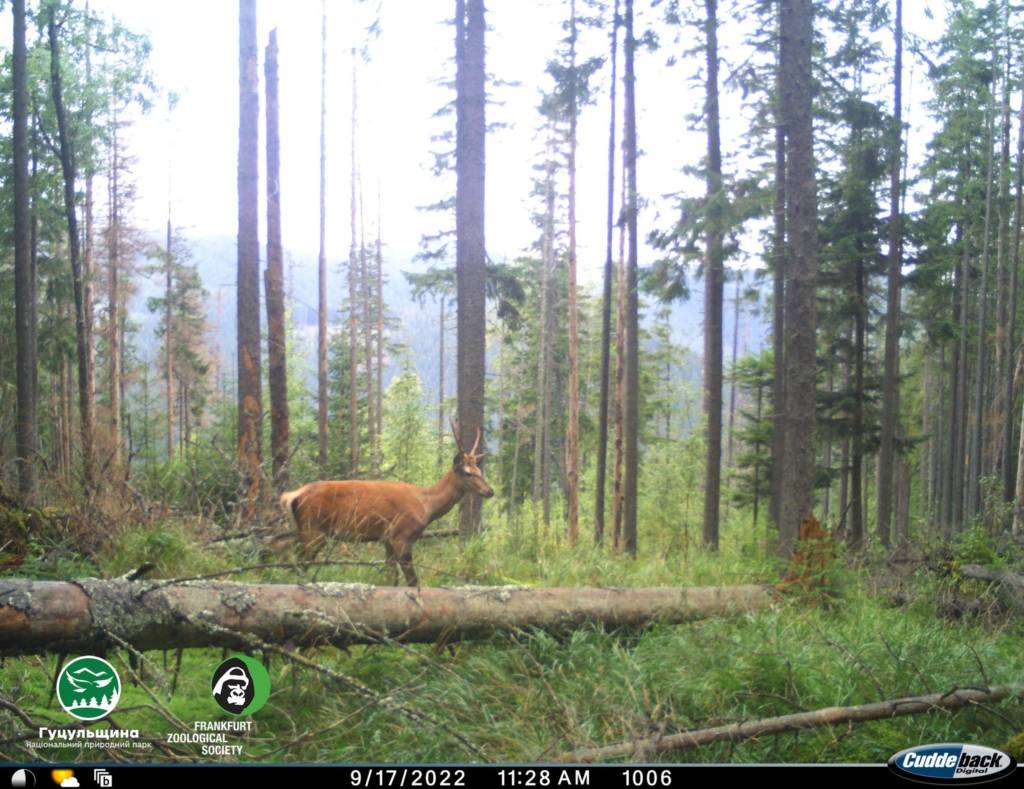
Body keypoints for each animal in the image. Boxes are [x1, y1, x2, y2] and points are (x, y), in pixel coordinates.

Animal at [276, 419, 491, 585]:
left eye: (479, 470)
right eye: (467, 473)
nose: (490, 491)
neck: (426, 505)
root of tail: (293, 495)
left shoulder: (387, 539)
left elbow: (391, 579)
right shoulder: (401, 535)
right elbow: (412, 581)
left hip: (304, 531)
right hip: (313, 530)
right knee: (297, 565)